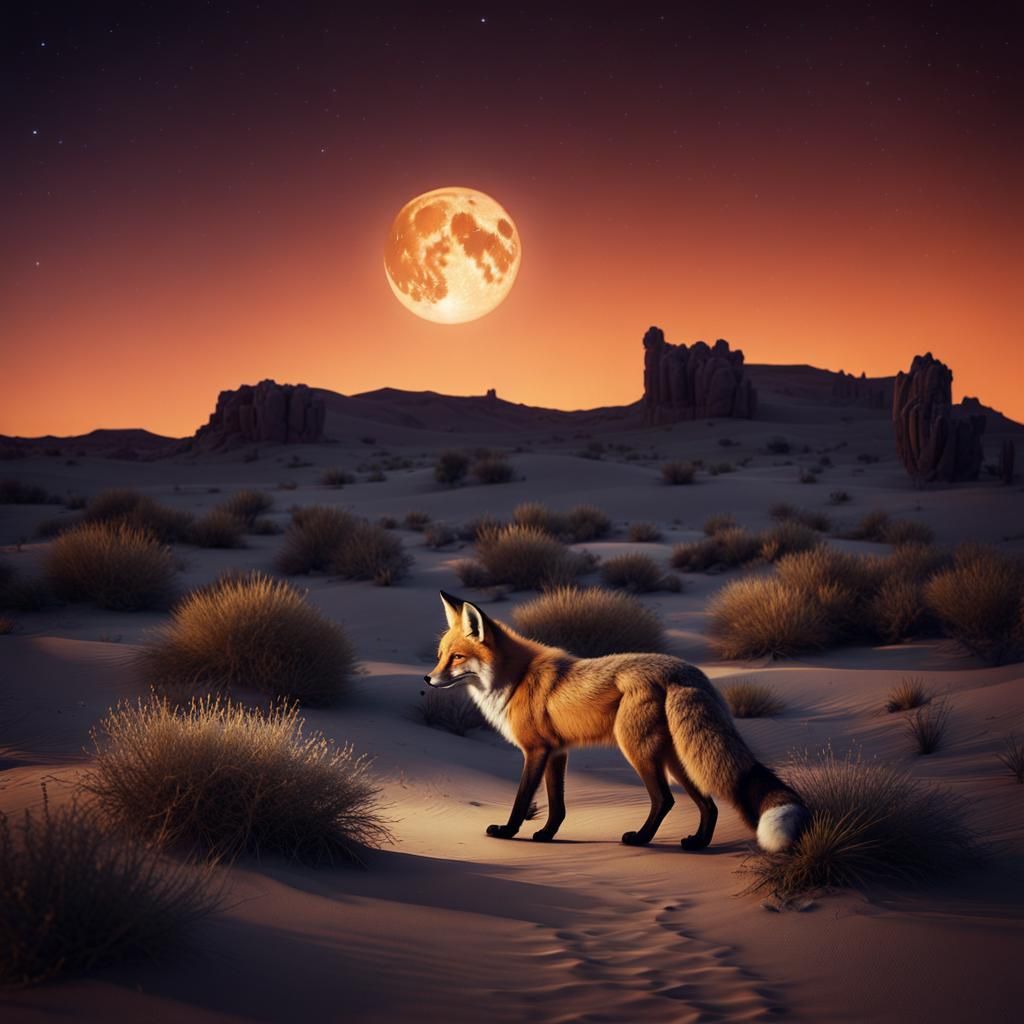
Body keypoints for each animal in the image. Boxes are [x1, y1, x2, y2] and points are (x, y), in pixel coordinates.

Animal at [425, 592, 808, 852]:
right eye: (440, 656)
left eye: (457, 658)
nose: (428, 679)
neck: (516, 679)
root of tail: (688, 672)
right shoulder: (557, 751)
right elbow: (557, 805)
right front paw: (547, 836)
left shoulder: (535, 750)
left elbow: (521, 800)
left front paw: (508, 832)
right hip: (676, 757)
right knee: (708, 804)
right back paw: (697, 843)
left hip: (637, 749)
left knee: (665, 800)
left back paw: (640, 839)